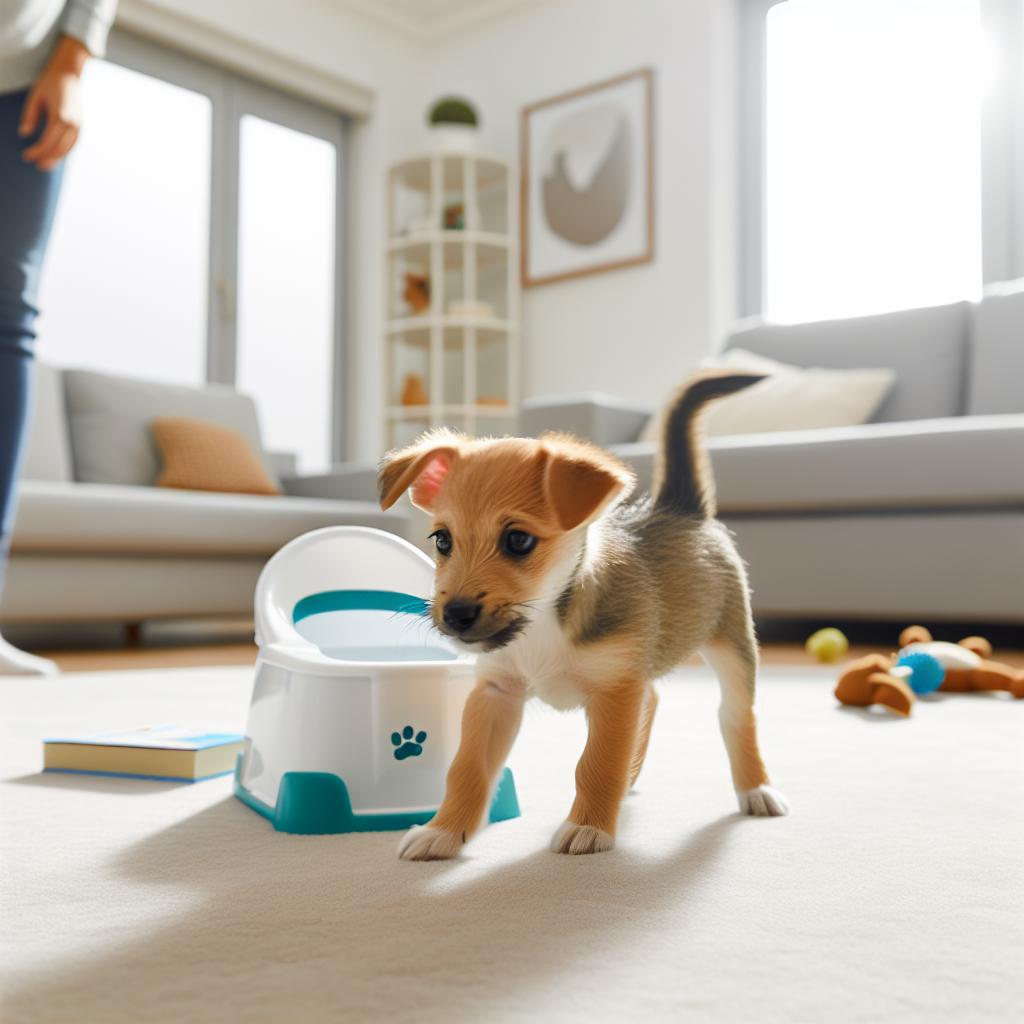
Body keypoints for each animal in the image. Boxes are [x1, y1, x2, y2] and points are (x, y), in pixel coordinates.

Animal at [380, 372, 786, 860]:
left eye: (518, 540)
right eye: (442, 540)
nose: (456, 614)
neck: (542, 626)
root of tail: (680, 509)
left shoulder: (614, 690)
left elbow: (597, 762)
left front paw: (589, 827)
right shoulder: (496, 693)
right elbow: (467, 768)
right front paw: (443, 830)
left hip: (733, 647)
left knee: (737, 716)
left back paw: (756, 789)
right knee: (653, 698)